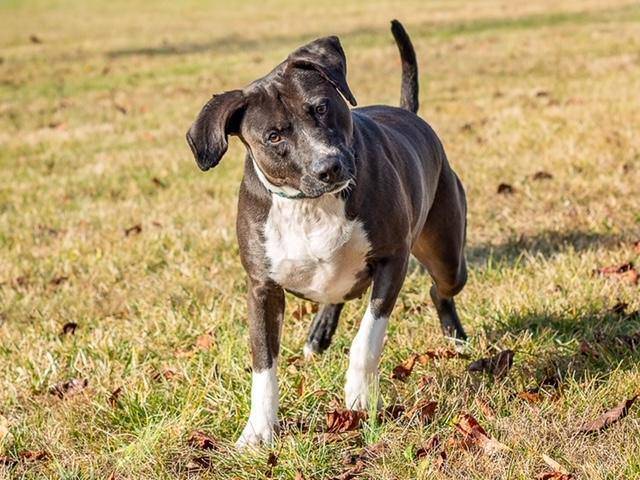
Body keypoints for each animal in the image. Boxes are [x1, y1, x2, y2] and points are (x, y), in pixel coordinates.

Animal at [188, 18, 468, 446]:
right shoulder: (262, 288)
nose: (329, 167)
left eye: (321, 107)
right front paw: (258, 430)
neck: (311, 205)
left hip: (447, 254)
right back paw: (318, 336)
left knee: (441, 288)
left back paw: (454, 338)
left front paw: (358, 398)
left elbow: (367, 338)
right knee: (335, 295)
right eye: (274, 136)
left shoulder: (392, 260)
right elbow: (263, 364)